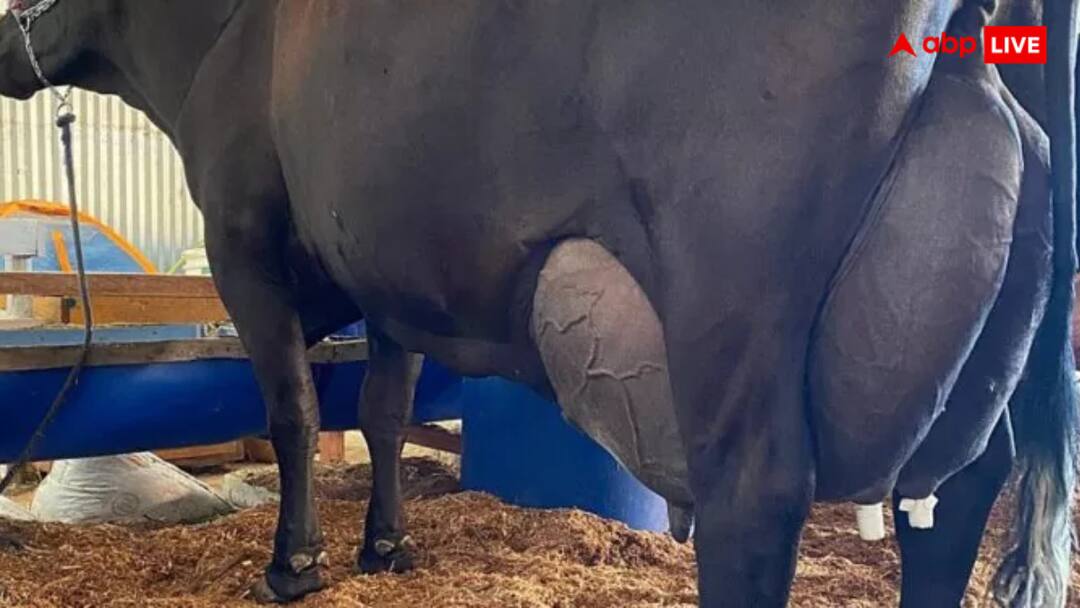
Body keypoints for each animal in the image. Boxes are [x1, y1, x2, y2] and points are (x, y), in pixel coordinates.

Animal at [0, 1, 1077, 607]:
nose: (7, 44)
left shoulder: (244, 240)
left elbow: (297, 411)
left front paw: (294, 567)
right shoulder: (389, 276)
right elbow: (383, 412)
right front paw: (386, 545)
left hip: (734, 293)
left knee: (757, 494)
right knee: (960, 491)